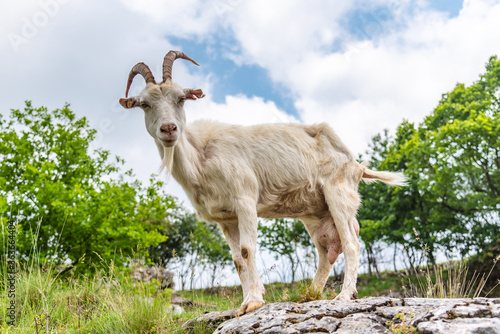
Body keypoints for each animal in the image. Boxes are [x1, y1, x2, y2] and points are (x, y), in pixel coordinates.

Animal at [119, 51, 408, 314]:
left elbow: (247, 250)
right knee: (326, 251)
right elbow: (237, 259)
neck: (201, 158)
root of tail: (356, 164)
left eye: (180, 99)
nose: (169, 129)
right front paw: (244, 303)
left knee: (351, 243)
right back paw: (310, 295)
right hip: (315, 213)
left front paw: (255, 301)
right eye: (145, 104)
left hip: (339, 194)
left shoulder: (245, 201)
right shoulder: (226, 218)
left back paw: (344, 295)